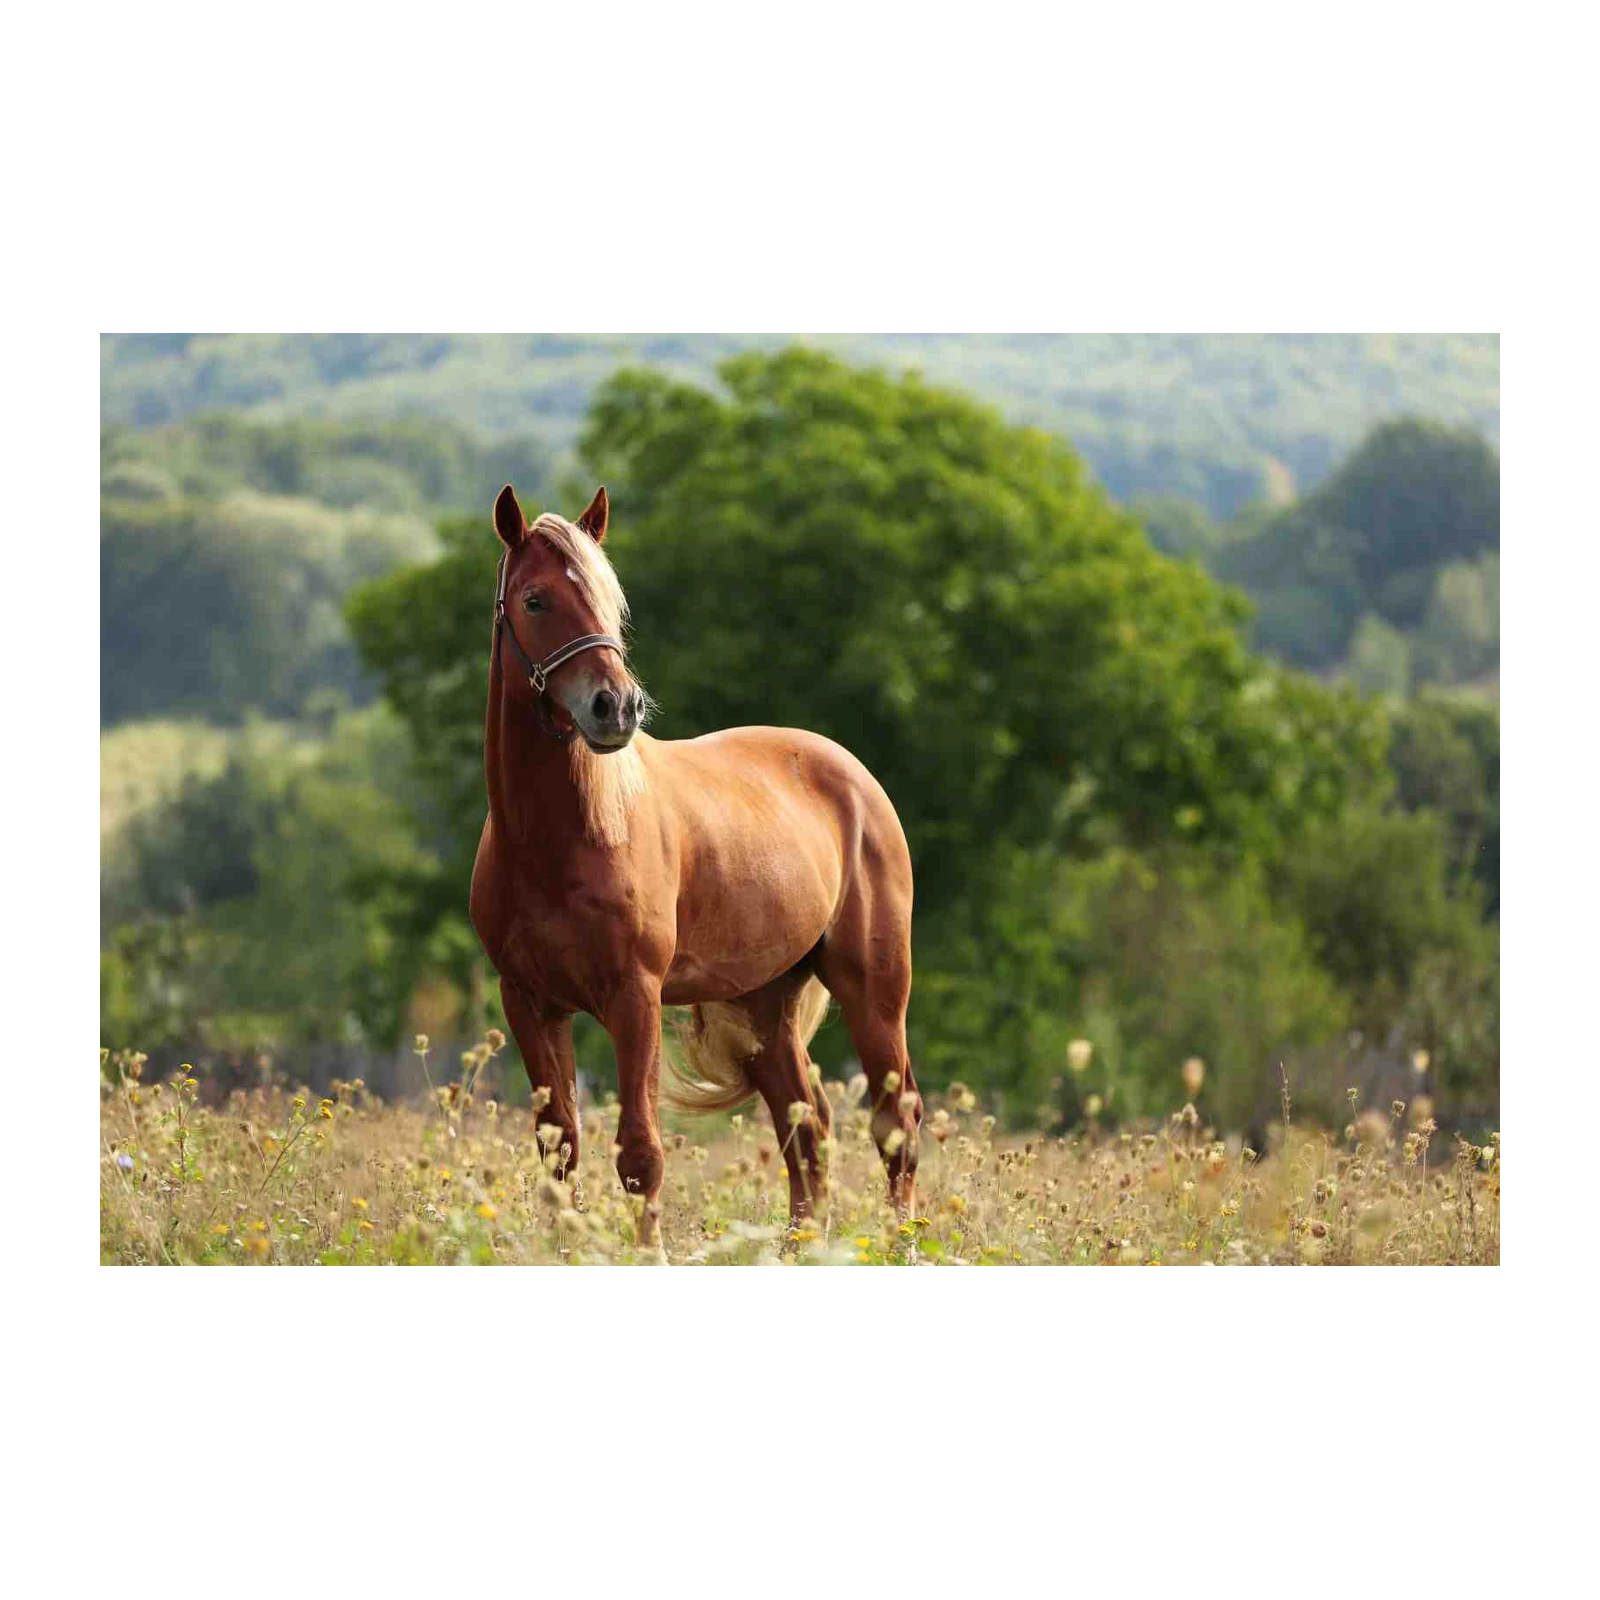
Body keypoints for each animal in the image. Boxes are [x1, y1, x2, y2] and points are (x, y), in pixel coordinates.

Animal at [468, 483, 924, 1255]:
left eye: (609, 600)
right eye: (534, 600)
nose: (616, 707)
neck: (558, 841)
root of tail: (855, 776)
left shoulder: (635, 999)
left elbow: (640, 1153)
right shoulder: (528, 1003)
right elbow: (560, 1150)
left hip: (875, 990)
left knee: (898, 1125)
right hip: (767, 1005)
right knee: (807, 1125)